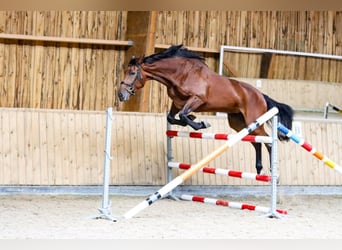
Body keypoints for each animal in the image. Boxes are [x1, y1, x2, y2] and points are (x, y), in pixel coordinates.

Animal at [118, 44, 294, 174]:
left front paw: (201, 124)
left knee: (267, 142)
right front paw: (194, 120)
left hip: (254, 121)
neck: (181, 74)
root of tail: (260, 95)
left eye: (132, 73)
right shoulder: (177, 103)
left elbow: (183, 115)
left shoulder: (197, 99)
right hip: (238, 123)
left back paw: (272, 172)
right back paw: (258, 169)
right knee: (256, 142)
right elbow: (173, 117)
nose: (120, 94)